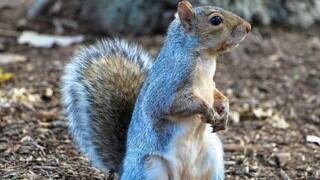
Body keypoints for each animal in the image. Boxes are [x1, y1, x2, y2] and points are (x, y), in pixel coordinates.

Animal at [61, 0, 251, 179]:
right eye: (216, 20)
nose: (248, 27)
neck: (205, 59)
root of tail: (124, 170)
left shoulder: (210, 85)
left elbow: (217, 94)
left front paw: (224, 110)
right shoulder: (168, 84)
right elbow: (168, 105)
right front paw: (208, 111)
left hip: (212, 157)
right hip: (152, 168)